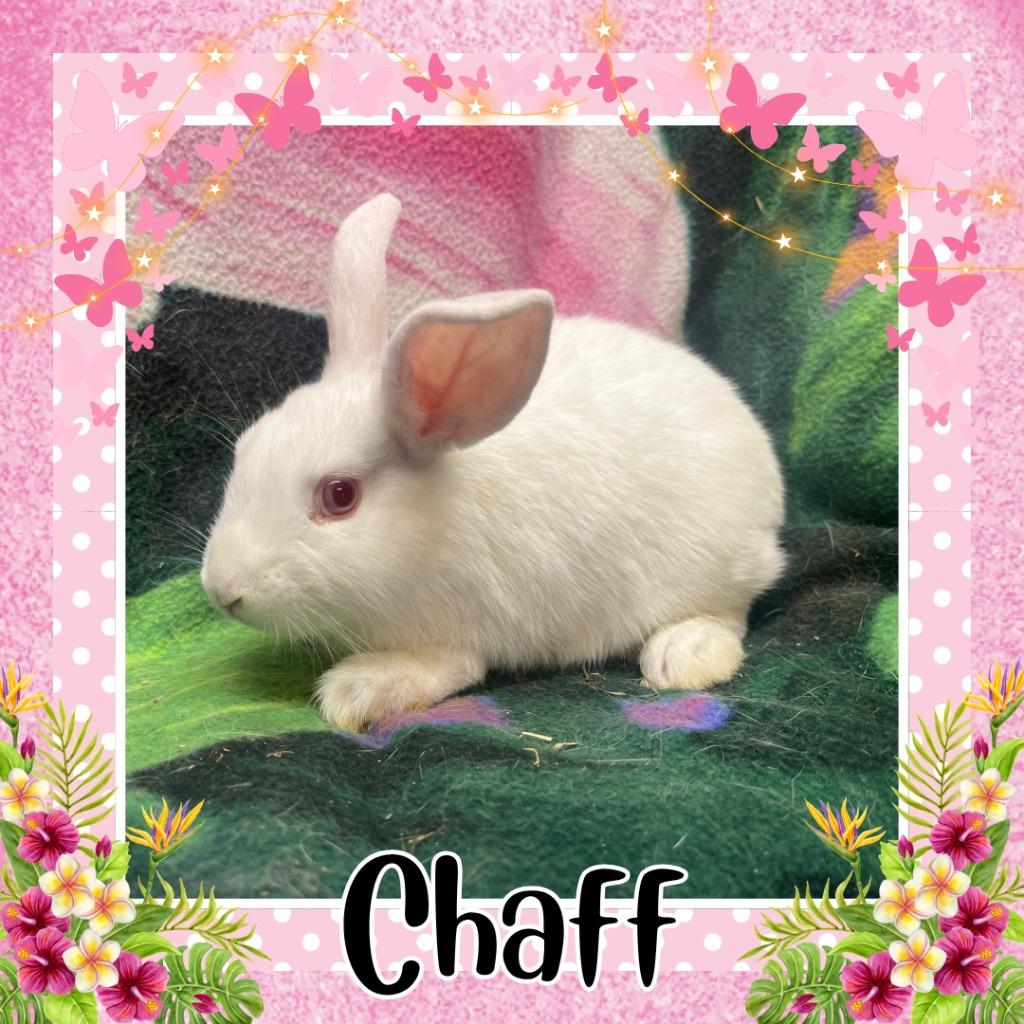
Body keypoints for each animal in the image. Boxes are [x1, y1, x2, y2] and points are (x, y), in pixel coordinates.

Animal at [201, 193, 785, 731]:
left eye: (339, 495)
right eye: (245, 449)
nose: (222, 590)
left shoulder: (457, 627)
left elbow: (448, 667)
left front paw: (358, 690)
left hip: (709, 565)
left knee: (730, 612)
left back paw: (684, 656)